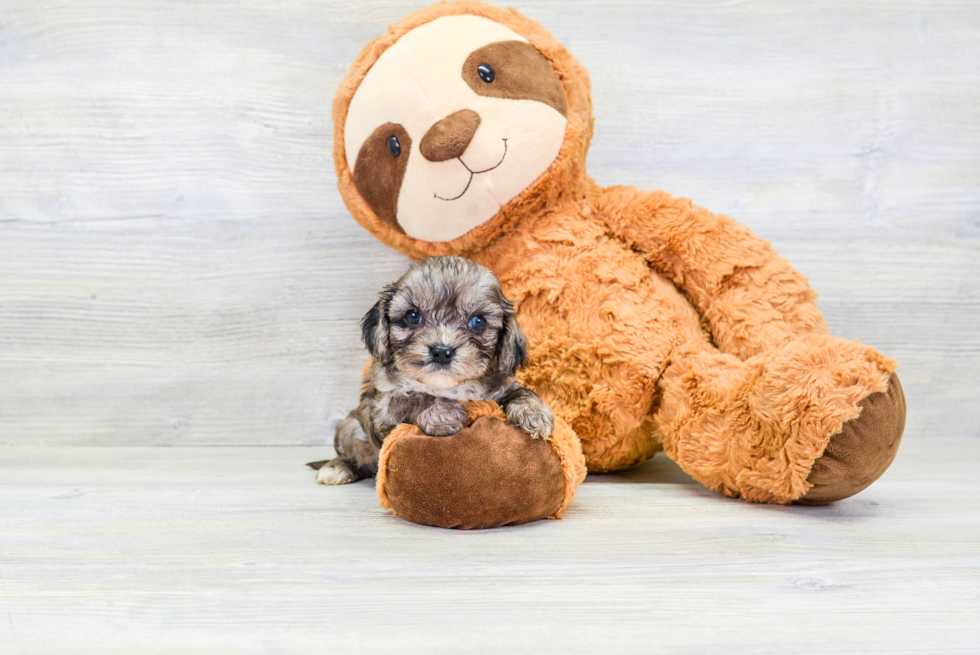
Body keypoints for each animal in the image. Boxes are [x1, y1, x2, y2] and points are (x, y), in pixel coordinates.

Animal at [312, 256, 552, 486]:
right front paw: (444, 411)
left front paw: (535, 413)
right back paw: (337, 468)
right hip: (350, 427)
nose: (442, 351)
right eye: (412, 316)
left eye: (478, 321)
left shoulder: (500, 385)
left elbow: (522, 391)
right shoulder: (382, 410)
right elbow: (410, 397)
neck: (446, 386)